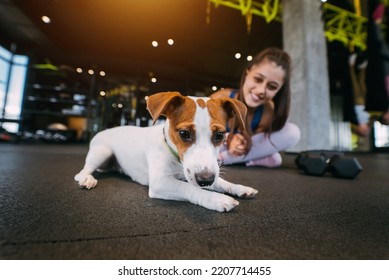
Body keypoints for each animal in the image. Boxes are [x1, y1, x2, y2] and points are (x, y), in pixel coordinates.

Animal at [75, 92, 258, 212]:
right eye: (184, 133)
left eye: (220, 135)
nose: (205, 180)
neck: (175, 157)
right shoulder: (160, 182)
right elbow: (191, 188)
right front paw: (216, 199)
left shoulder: (195, 173)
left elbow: (220, 182)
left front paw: (238, 188)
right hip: (102, 152)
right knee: (83, 170)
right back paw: (86, 179)